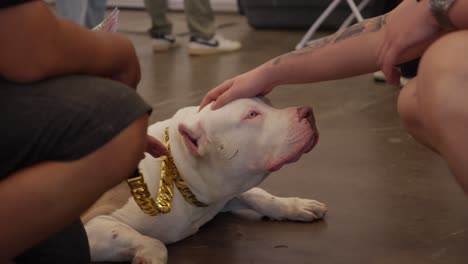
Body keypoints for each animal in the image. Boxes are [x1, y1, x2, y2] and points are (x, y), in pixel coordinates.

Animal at [83, 97, 326, 264]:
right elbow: (154, 243)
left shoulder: (220, 196)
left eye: (269, 102)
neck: (178, 170)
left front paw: (294, 205)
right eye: (251, 114)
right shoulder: (93, 224)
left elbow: (259, 195)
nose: (307, 112)